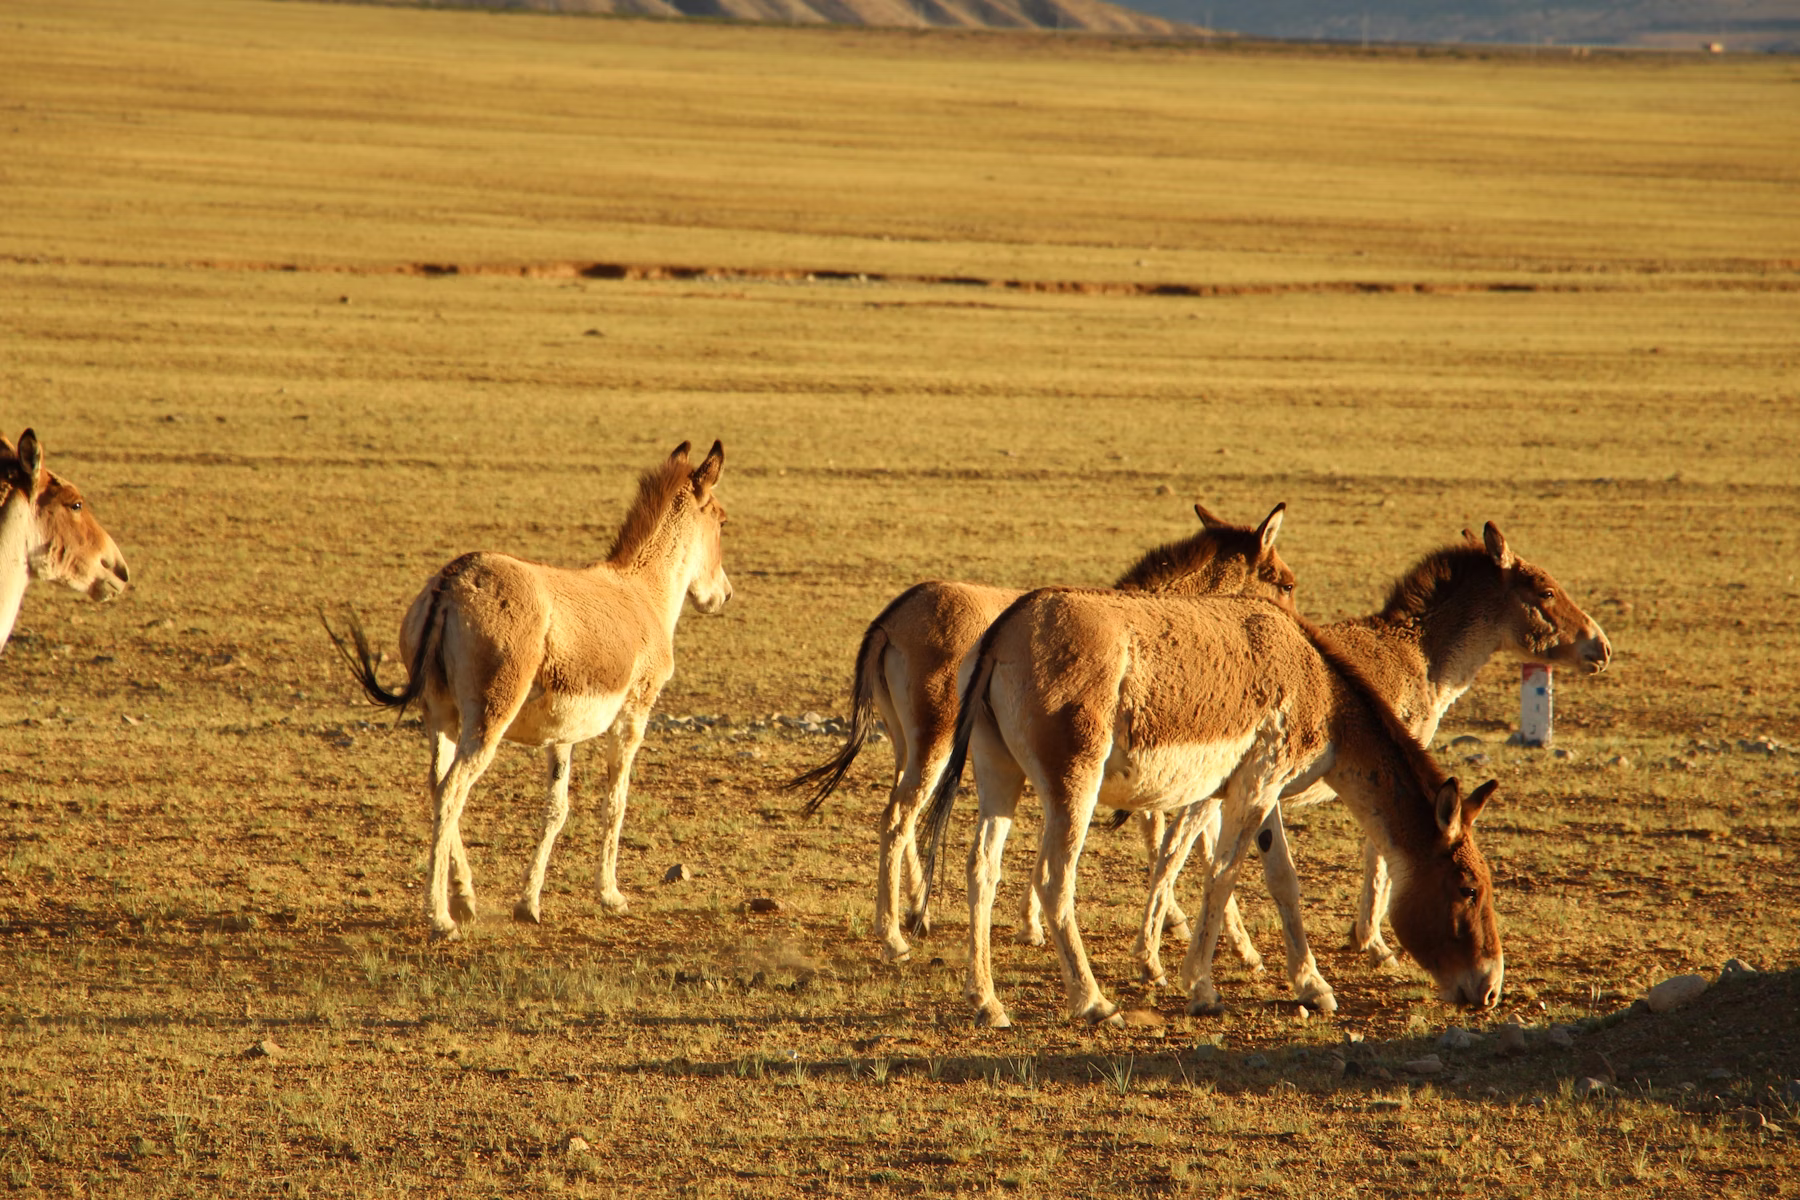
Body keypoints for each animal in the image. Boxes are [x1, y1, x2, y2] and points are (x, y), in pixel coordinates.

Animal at [326, 441, 730, 940]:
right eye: (723, 519)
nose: (724, 595)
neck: (641, 591)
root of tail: (454, 578)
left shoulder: (562, 734)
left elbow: (556, 809)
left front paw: (528, 904)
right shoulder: (634, 714)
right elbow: (615, 802)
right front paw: (610, 896)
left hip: (439, 716)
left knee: (436, 785)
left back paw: (465, 898)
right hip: (489, 716)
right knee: (452, 790)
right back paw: (440, 916)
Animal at [787, 502, 1296, 964]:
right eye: (1287, 583)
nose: (1297, 633)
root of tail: (894, 615)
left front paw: (1033, 924)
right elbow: (1176, 841)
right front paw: (1216, 938)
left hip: (906, 746)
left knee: (906, 817)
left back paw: (917, 914)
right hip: (935, 743)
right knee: (896, 818)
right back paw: (893, 937)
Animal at [923, 590, 1503, 1028]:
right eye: (1468, 888)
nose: (1490, 990)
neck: (1319, 684)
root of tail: (1009, 623)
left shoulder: (1262, 791)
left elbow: (1282, 879)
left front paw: (1312, 986)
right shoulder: (1256, 787)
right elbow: (1222, 876)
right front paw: (1201, 988)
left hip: (998, 773)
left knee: (982, 869)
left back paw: (988, 1003)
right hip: (1073, 785)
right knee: (1052, 879)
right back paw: (1093, 1003)